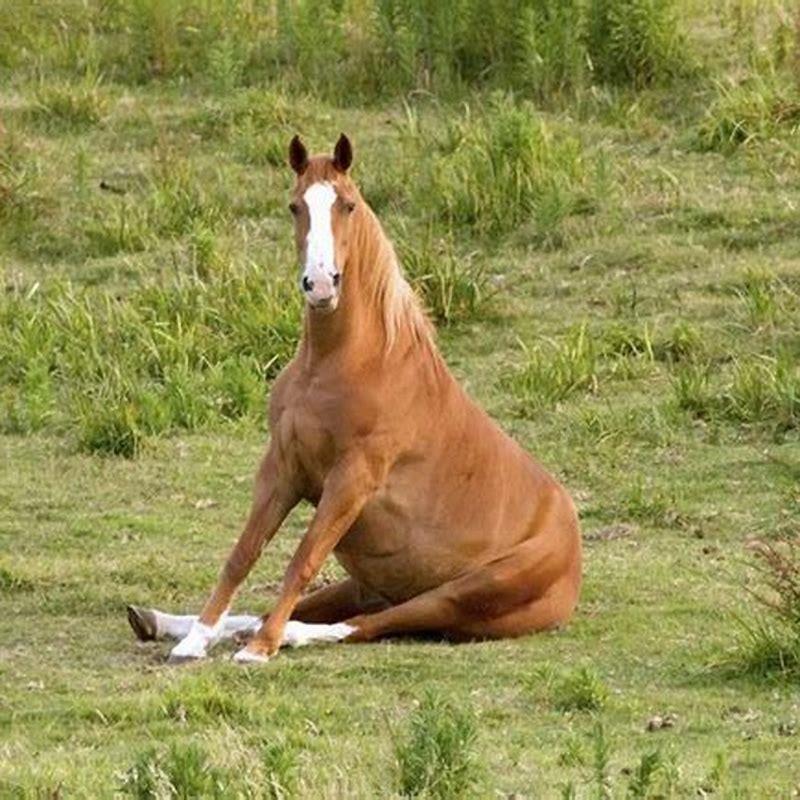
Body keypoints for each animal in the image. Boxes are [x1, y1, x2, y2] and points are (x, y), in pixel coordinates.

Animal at [127, 134, 582, 663]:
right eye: (295, 206)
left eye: (348, 205)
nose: (321, 284)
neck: (341, 363)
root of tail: (572, 558)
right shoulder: (282, 467)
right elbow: (243, 554)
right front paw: (196, 639)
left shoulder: (351, 480)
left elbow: (302, 560)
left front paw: (260, 649)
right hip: (369, 583)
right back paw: (162, 621)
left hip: (461, 594)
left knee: (371, 624)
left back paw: (282, 635)